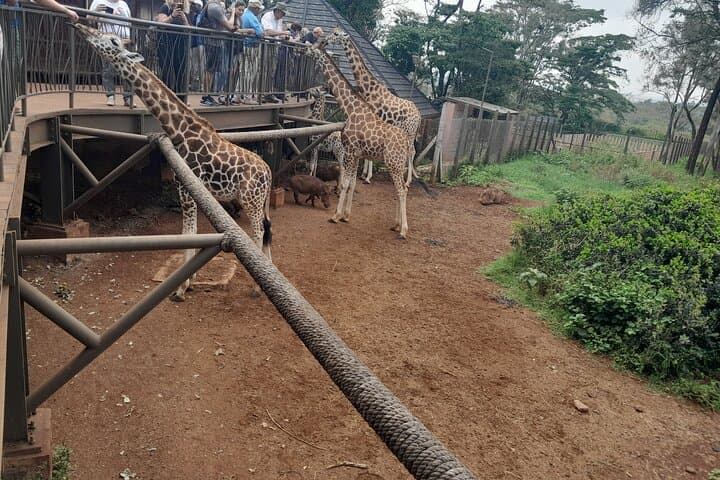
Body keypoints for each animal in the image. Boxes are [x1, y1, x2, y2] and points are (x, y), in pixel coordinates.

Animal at [73, 23, 273, 300]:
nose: (81, 27)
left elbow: (188, 233)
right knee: (266, 231)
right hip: (259, 202)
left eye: (113, 41)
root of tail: (269, 171)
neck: (179, 131)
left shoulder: (186, 190)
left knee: (259, 232)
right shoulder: (188, 190)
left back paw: (255, 288)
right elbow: (190, 232)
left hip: (251, 201)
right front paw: (189, 280)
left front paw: (180, 288)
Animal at [305, 46, 413, 239]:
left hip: (393, 163)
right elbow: (352, 183)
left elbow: (345, 182)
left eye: (312, 48)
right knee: (400, 189)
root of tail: (406, 143)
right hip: (397, 164)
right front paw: (346, 215)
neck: (351, 108)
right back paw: (395, 225)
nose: (303, 51)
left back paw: (403, 230)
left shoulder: (348, 151)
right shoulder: (356, 154)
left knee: (402, 189)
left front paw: (336, 215)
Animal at [321, 29, 421, 186]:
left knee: (411, 151)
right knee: (413, 151)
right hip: (409, 133)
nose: (325, 40)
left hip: (409, 132)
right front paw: (364, 175)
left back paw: (407, 181)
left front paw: (367, 177)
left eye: (336, 34)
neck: (368, 88)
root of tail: (419, 116)